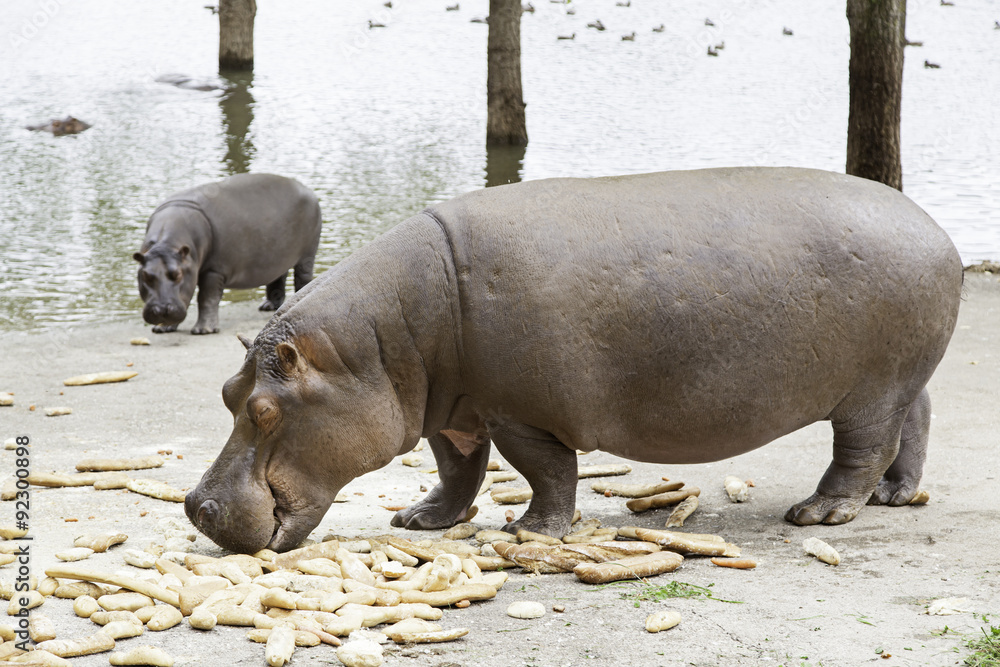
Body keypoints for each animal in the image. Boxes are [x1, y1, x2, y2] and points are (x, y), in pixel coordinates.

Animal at [133, 172, 320, 334]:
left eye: (178, 274)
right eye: (146, 275)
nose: (161, 310)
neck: (167, 245)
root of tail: (307, 189)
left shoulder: (213, 270)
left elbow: (207, 298)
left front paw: (203, 330)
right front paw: (163, 328)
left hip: (307, 255)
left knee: (303, 278)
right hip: (279, 257)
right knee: (278, 277)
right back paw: (269, 307)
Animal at [186, 170, 960, 556]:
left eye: (264, 410)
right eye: (224, 391)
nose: (195, 505)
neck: (377, 346)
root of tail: (937, 229)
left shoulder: (520, 413)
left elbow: (546, 471)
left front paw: (529, 531)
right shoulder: (453, 411)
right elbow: (457, 469)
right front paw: (419, 519)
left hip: (866, 390)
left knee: (861, 448)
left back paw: (819, 513)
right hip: (902, 380)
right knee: (916, 419)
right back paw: (895, 495)